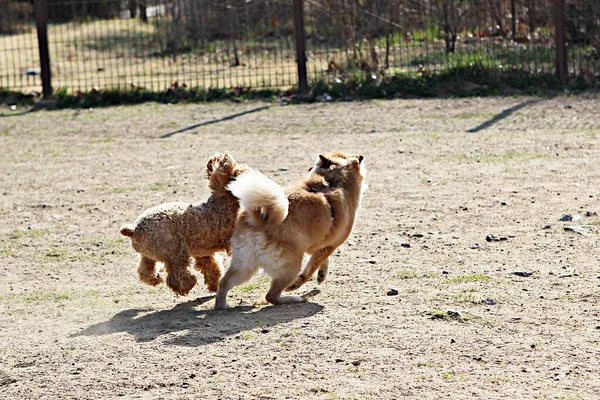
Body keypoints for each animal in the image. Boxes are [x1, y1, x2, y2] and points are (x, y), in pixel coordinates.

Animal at [119, 152, 251, 296]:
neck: (222, 204)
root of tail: (134, 229)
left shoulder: (203, 252)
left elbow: (212, 267)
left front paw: (214, 285)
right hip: (174, 252)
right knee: (175, 275)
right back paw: (188, 284)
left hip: (148, 255)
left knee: (145, 271)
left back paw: (155, 279)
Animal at [216, 152, 366, 308]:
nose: (360, 155)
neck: (333, 182)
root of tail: (262, 223)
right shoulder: (331, 245)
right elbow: (311, 268)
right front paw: (297, 284)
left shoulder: (319, 246)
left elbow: (322, 260)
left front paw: (322, 275)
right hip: (291, 265)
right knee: (271, 296)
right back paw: (292, 298)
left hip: (245, 267)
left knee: (224, 282)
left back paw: (222, 306)